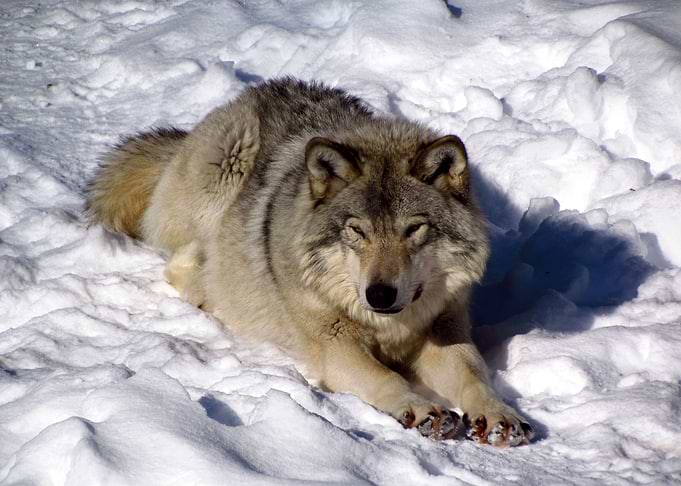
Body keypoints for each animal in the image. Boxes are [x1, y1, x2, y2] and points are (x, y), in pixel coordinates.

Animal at [87, 77, 533, 446]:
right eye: (357, 231)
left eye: (413, 229)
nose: (379, 295)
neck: (388, 327)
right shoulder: (335, 345)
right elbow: (385, 376)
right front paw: (421, 408)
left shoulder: (445, 329)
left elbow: (475, 375)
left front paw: (499, 415)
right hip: (227, 166)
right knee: (181, 265)